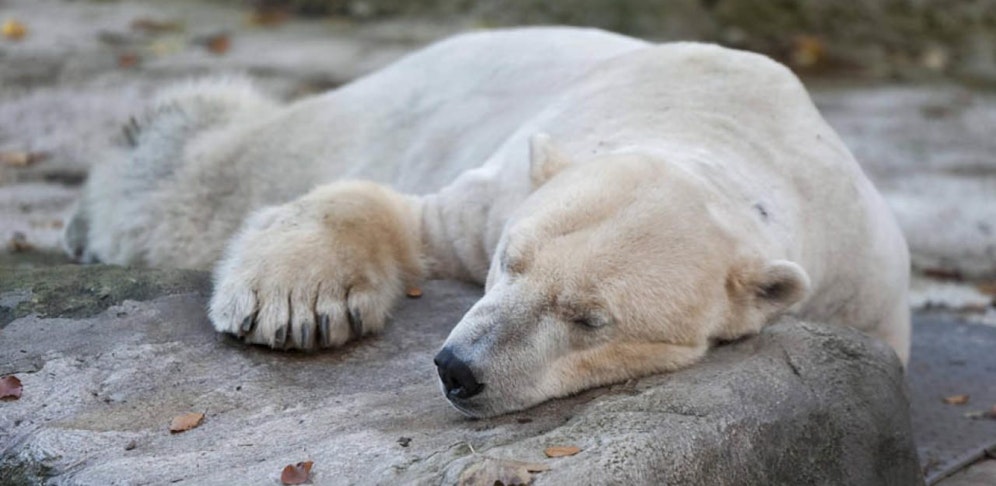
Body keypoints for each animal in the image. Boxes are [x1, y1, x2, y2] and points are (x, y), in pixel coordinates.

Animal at [64, 27, 910, 418]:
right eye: (510, 258)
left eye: (590, 319)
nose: (456, 369)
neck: (720, 130)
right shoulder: (499, 183)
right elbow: (407, 215)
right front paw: (294, 306)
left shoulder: (862, 283)